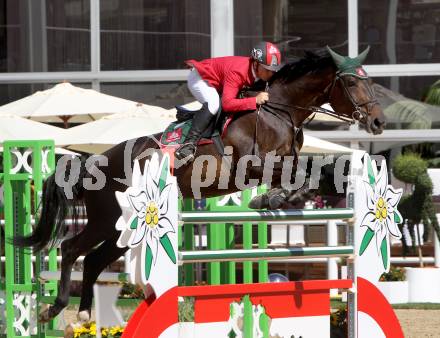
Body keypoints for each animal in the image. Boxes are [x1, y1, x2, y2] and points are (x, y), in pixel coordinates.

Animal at [12, 45, 384, 322]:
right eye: (352, 84)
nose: (379, 122)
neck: (279, 110)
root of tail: (92, 162)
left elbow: (313, 172)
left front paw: (285, 197)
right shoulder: (253, 165)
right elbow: (297, 174)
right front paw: (271, 198)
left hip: (123, 229)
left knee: (92, 260)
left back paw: (85, 315)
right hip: (105, 218)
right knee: (70, 249)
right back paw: (55, 309)